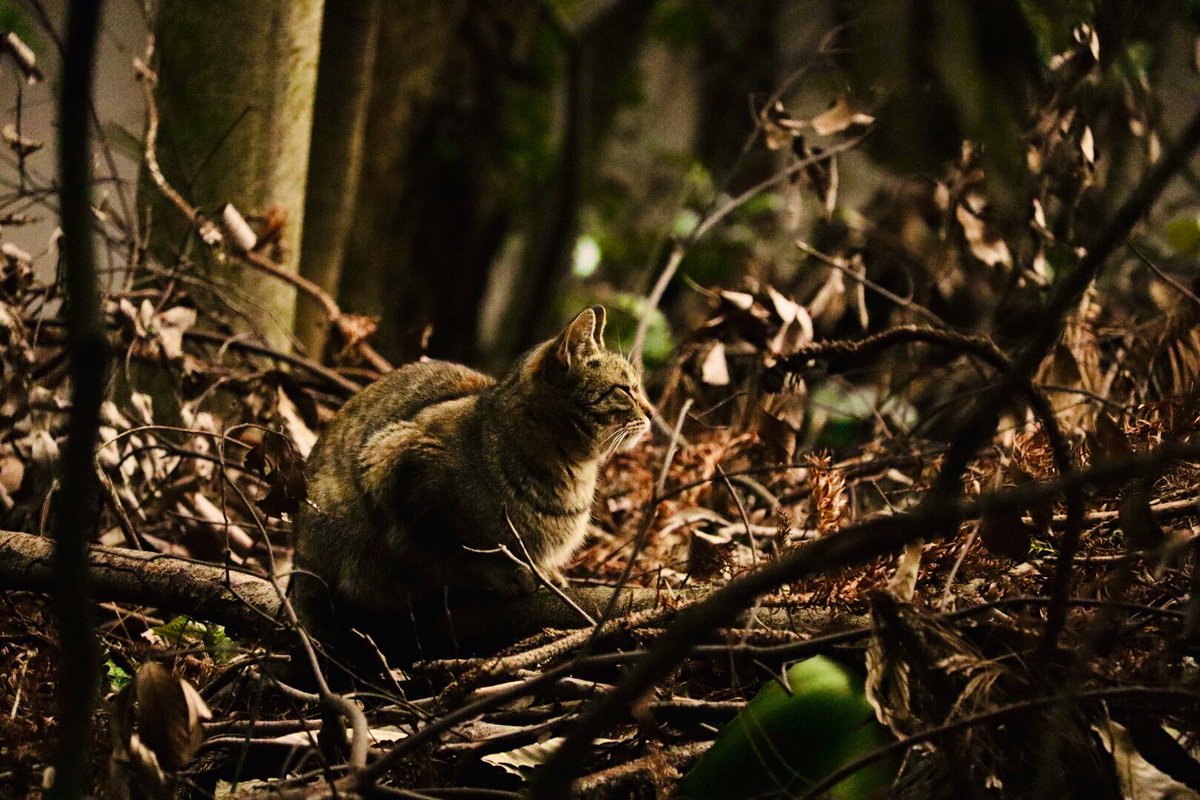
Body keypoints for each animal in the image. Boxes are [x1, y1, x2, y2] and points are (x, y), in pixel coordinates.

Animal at [290, 306, 651, 657]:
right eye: (624, 389)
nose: (651, 411)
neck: (569, 470)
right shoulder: (394, 463)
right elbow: (460, 553)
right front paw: (512, 574)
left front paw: (545, 572)